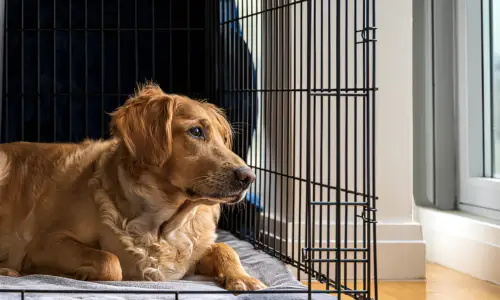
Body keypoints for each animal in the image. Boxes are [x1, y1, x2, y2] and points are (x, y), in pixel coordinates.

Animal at [0, 82, 268, 290]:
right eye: (196, 131)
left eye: (224, 139)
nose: (249, 177)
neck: (161, 227)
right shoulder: (45, 243)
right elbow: (110, 261)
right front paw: (81, 273)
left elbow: (224, 247)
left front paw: (243, 278)